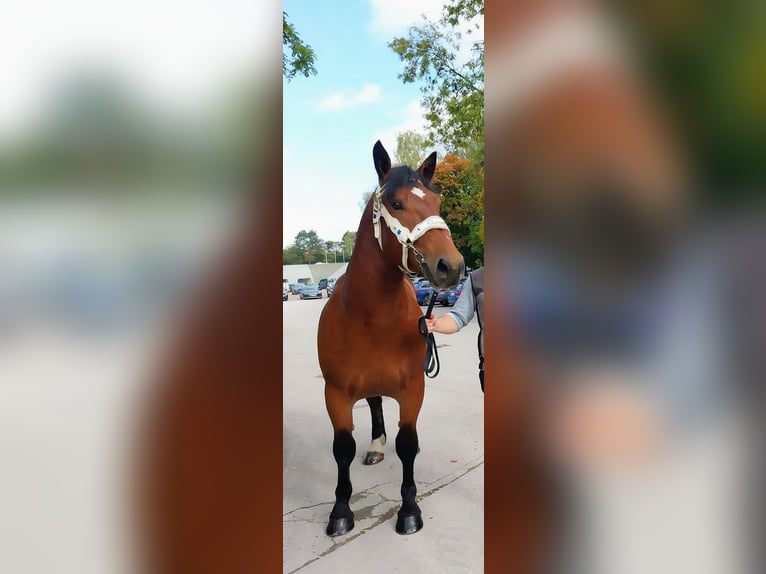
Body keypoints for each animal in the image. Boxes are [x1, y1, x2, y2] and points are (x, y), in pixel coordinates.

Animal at [317, 140, 465, 536]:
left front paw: (409, 510)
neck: (372, 318)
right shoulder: (336, 393)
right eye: (396, 204)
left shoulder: (413, 388)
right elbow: (342, 449)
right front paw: (340, 512)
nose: (452, 267)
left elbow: (408, 444)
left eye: (438, 201)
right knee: (374, 405)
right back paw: (376, 445)